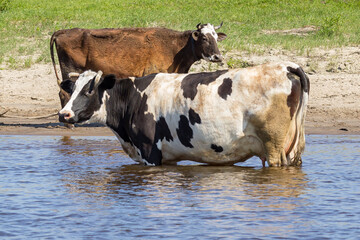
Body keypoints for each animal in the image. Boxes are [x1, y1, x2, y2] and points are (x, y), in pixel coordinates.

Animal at [49, 22, 226, 109]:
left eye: (216, 37)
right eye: (204, 38)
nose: (218, 56)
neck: (174, 47)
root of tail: (63, 31)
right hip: (70, 70)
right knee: (65, 93)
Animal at [58, 62, 310, 167]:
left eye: (89, 90)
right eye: (73, 89)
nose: (64, 114)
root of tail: (284, 66)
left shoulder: (150, 152)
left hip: (274, 146)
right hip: (291, 148)